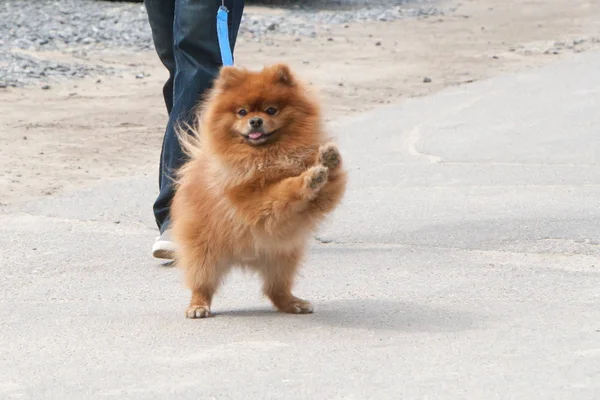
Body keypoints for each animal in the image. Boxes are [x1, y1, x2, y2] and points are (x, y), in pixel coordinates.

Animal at [169, 63, 346, 318]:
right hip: (204, 255)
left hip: (283, 259)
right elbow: (284, 190)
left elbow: (331, 183)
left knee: (276, 290)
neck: (268, 156)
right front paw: (308, 178)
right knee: (202, 283)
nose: (255, 121)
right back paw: (198, 306)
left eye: (271, 110)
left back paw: (294, 303)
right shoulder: (257, 203)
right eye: (242, 112)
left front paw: (328, 159)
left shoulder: (320, 201)